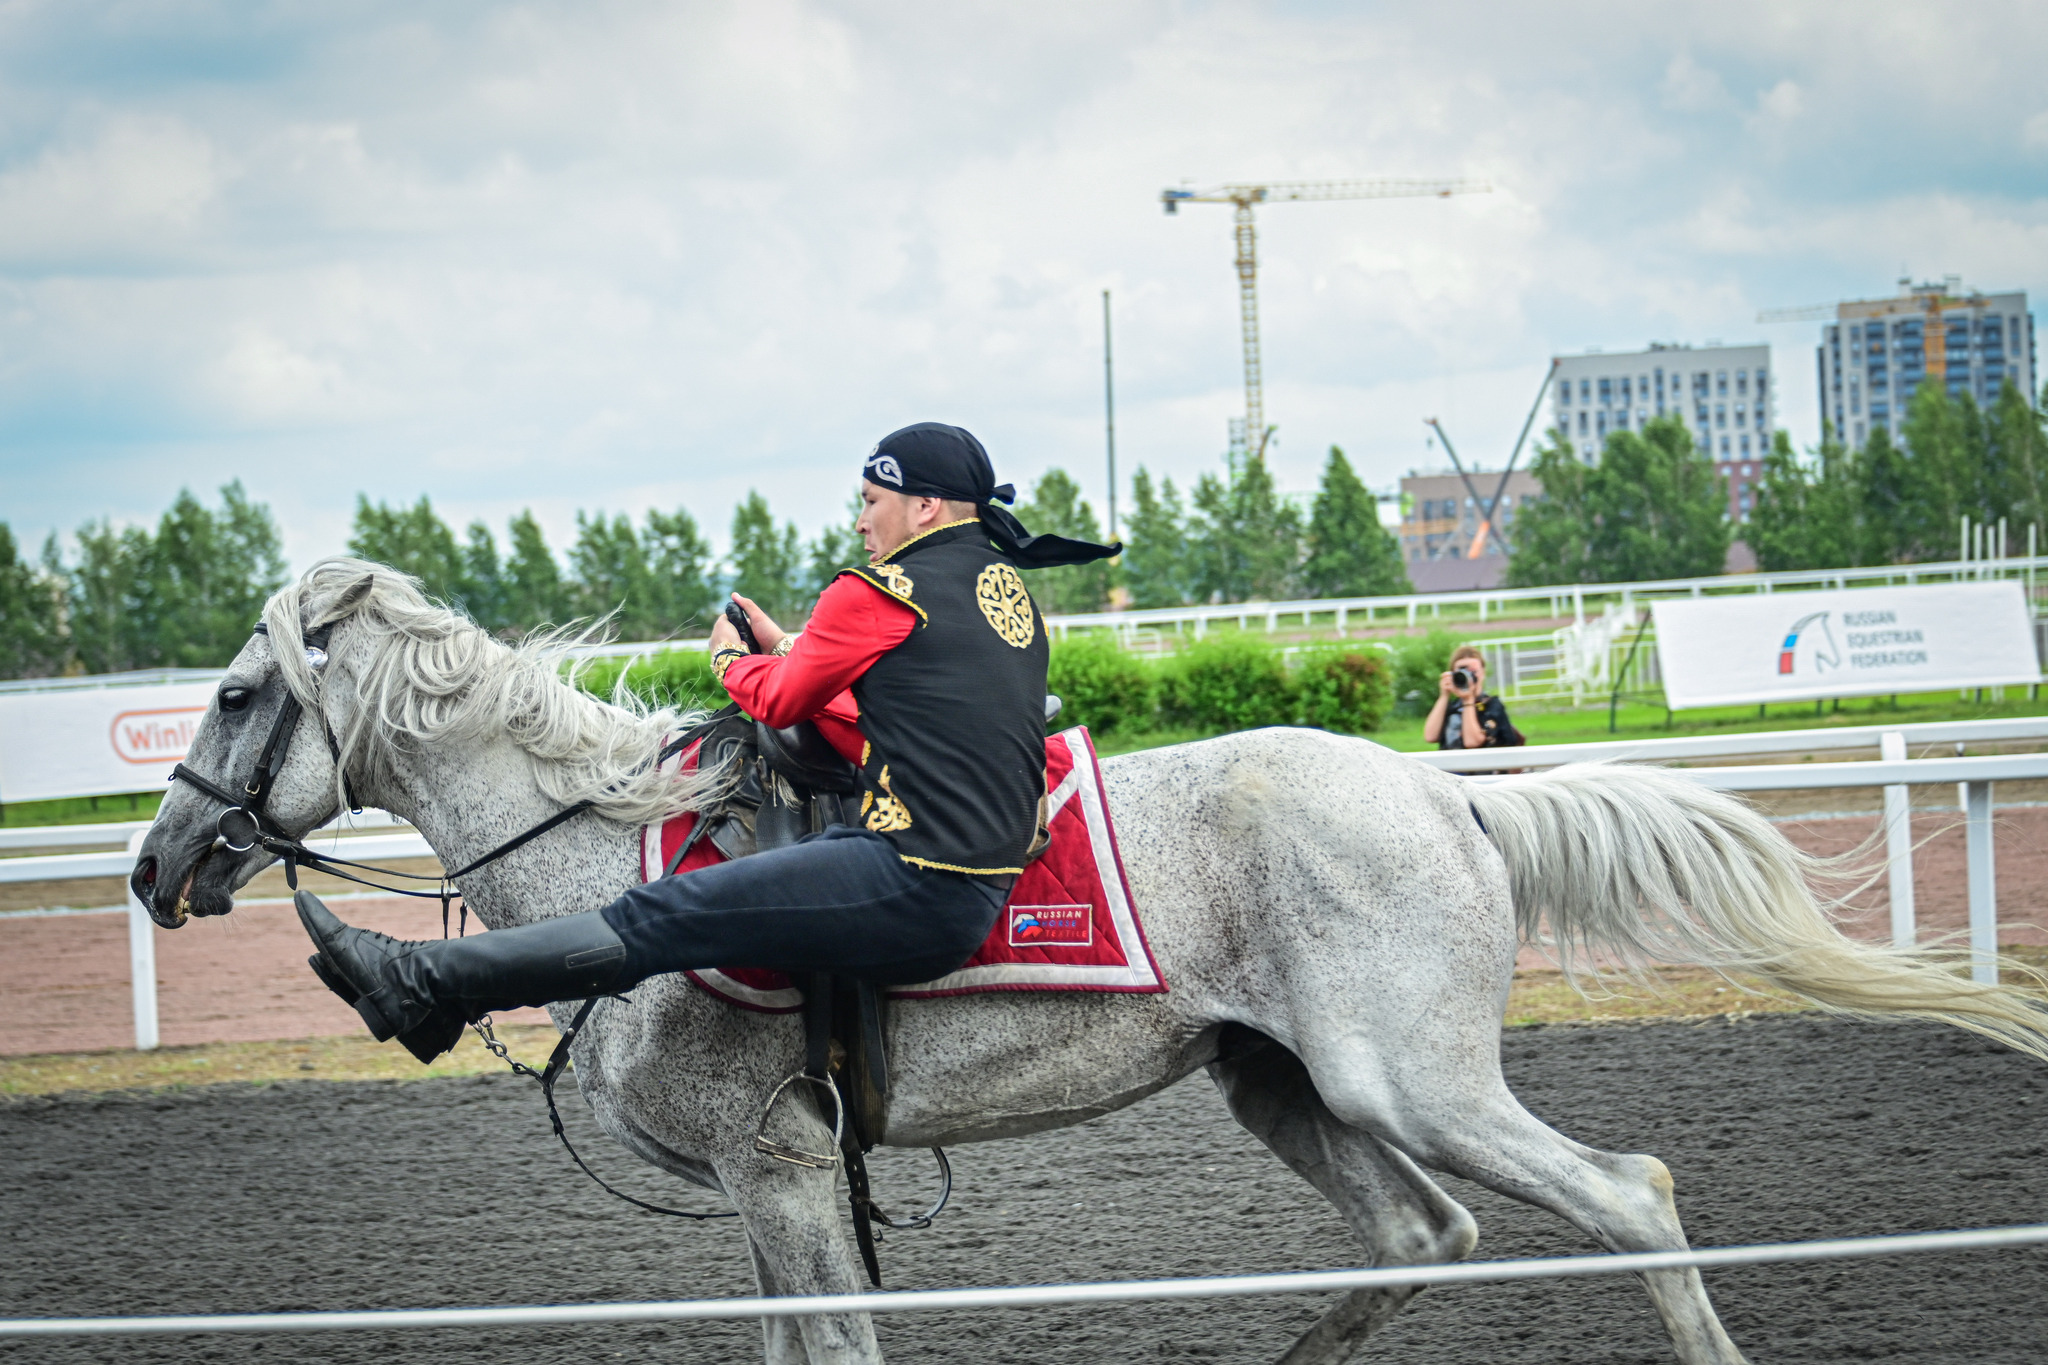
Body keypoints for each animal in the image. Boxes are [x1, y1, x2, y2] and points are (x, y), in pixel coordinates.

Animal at [132, 560, 2048, 1358]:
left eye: (229, 694)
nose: (154, 865)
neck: (620, 845)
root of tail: (1442, 791)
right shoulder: (770, 1197)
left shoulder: (786, 1173)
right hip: (1288, 1089)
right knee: (1421, 1240)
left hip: (1410, 1079)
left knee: (1630, 1197)